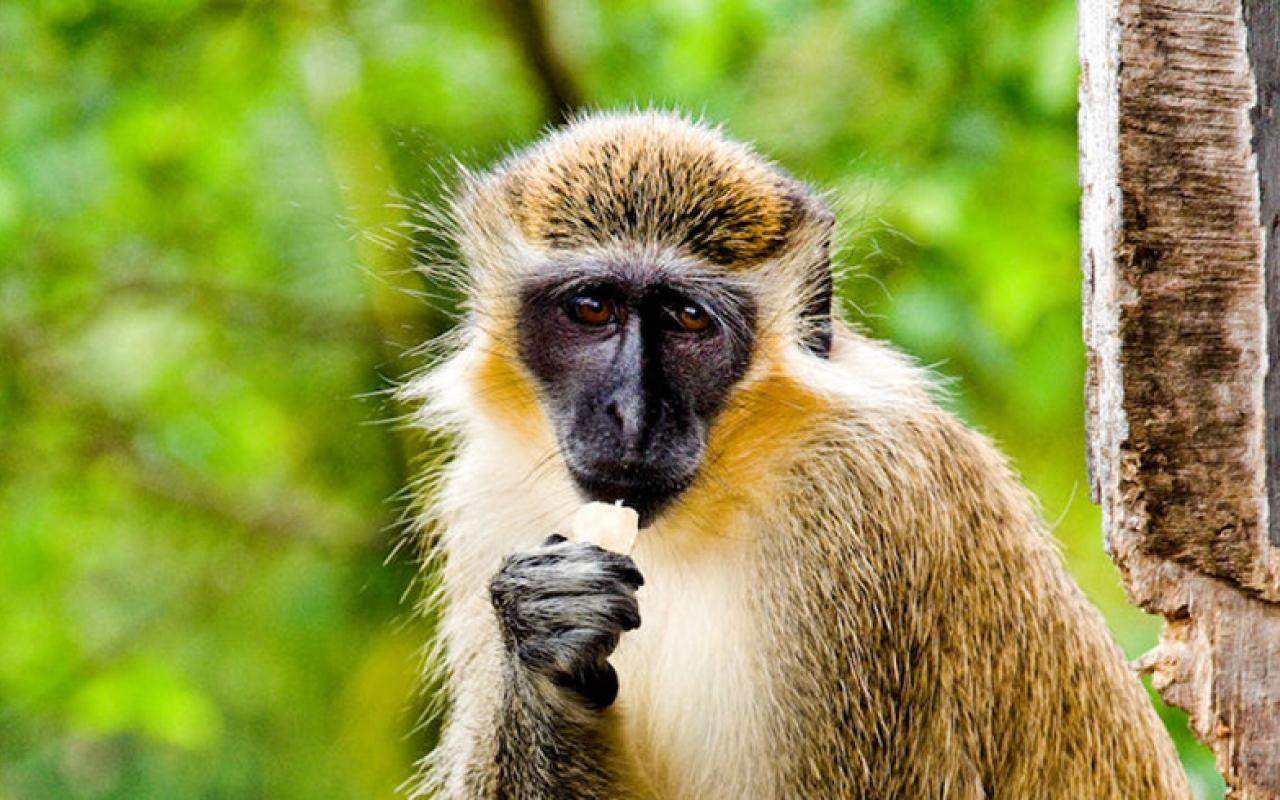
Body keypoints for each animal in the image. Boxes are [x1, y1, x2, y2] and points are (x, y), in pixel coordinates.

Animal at [405, 110, 1191, 799]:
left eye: (689, 319)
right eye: (592, 309)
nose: (632, 413)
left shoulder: (867, 509)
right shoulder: (486, 495)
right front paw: (540, 635)